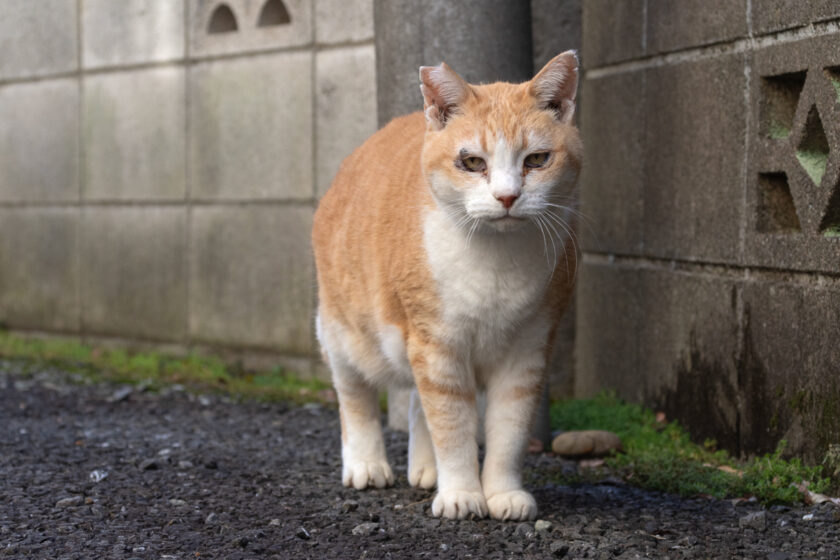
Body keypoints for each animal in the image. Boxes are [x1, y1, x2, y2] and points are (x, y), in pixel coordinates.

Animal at [312, 51, 580, 520]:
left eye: (536, 160)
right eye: (472, 162)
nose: (507, 197)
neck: (497, 262)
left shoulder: (527, 351)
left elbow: (508, 431)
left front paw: (502, 494)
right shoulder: (437, 343)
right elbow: (452, 427)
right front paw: (461, 494)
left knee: (419, 406)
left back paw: (425, 469)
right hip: (346, 334)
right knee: (355, 397)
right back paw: (367, 465)